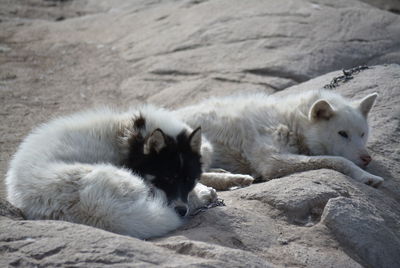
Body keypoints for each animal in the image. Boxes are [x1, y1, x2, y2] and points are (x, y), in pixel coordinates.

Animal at [177, 89, 382, 188]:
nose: (367, 158)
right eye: (342, 133)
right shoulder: (272, 160)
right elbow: (339, 160)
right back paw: (235, 180)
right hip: (202, 144)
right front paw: (367, 177)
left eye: (362, 134)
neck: (291, 121)